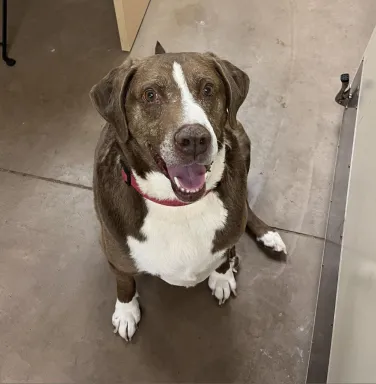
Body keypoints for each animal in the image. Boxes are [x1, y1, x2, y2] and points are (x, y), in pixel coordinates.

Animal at [89, 42, 286, 342]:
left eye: (208, 89)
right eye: (150, 94)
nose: (194, 139)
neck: (178, 207)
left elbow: (222, 253)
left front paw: (222, 275)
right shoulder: (115, 254)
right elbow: (124, 281)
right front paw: (126, 311)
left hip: (243, 142)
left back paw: (264, 237)